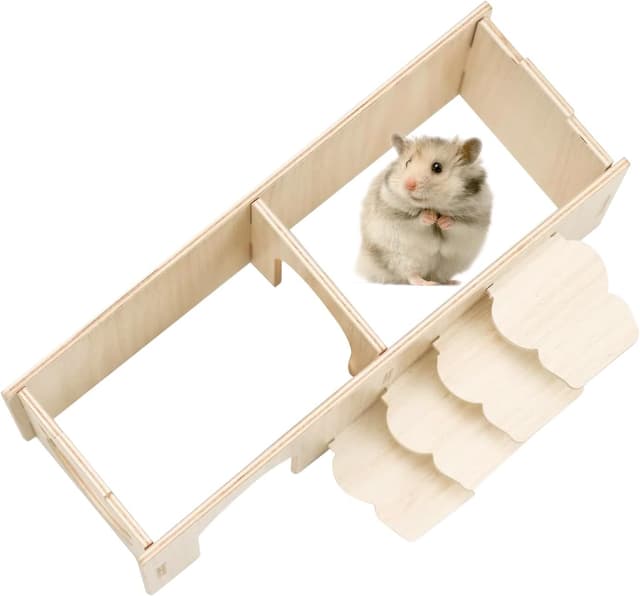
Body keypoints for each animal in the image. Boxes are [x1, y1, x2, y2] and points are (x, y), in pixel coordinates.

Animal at [356, 133, 492, 285]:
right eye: (407, 163)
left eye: (437, 167)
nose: (408, 185)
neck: (434, 206)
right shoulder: (397, 217)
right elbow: (416, 220)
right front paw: (430, 217)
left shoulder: (472, 222)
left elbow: (456, 224)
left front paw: (442, 221)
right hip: (400, 258)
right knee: (411, 275)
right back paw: (426, 283)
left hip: (449, 264)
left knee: (437, 275)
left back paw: (451, 282)